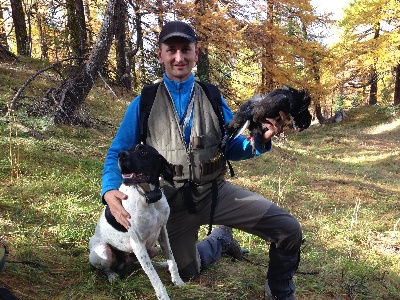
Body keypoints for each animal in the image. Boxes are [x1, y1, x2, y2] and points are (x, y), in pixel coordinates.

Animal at [89, 144, 184, 298]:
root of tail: (124, 264)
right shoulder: (137, 243)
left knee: (145, 263)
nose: (121, 155)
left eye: (143, 152)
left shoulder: (163, 231)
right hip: (103, 252)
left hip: (152, 249)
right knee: (104, 268)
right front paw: (163, 296)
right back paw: (112, 275)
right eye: (127, 149)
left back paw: (161, 264)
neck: (148, 197)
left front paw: (178, 280)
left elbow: (171, 259)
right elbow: (154, 277)